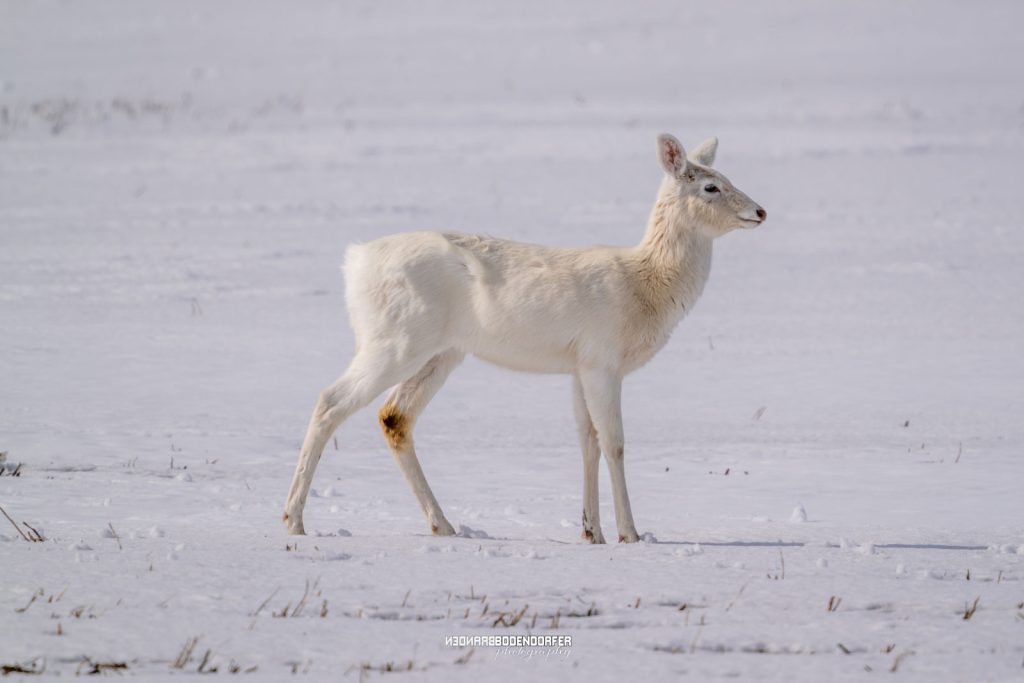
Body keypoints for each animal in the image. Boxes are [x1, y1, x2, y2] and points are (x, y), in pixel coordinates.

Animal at [283, 133, 766, 543]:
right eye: (711, 186)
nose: (760, 211)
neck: (645, 284)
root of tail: (354, 263)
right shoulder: (602, 359)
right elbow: (615, 443)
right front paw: (631, 534)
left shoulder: (578, 366)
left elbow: (587, 441)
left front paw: (592, 531)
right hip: (394, 342)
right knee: (330, 401)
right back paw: (294, 521)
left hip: (442, 353)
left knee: (394, 417)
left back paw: (444, 525)